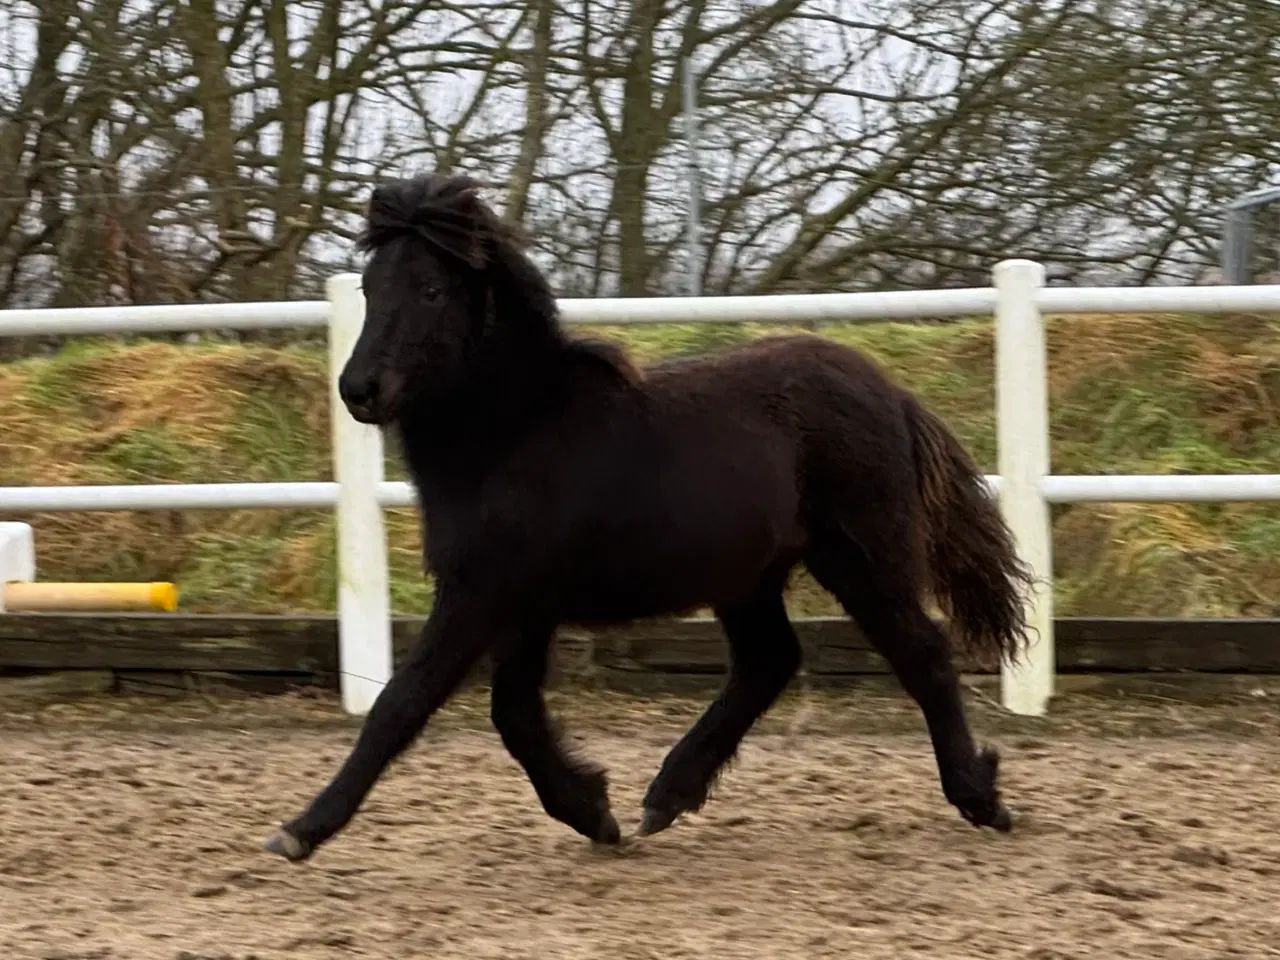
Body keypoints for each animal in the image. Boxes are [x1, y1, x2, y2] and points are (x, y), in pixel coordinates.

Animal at [264, 172, 1034, 865]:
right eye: (370, 288)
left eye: (429, 289)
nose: (359, 390)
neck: (517, 432)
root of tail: (890, 392)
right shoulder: (522, 604)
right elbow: (513, 714)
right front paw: (593, 811)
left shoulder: (485, 593)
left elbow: (404, 703)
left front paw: (301, 830)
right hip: (749, 575)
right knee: (769, 661)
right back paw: (667, 795)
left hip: (861, 555)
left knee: (921, 652)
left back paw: (981, 799)